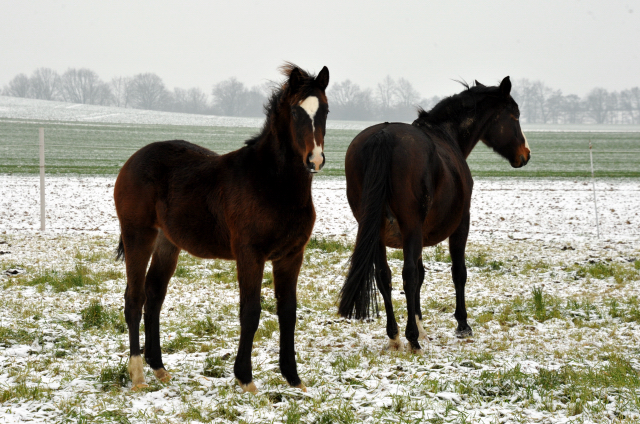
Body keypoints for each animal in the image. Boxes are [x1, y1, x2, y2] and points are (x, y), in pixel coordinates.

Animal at [113, 64, 330, 392]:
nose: (314, 160)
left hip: (168, 243)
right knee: (135, 298)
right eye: (295, 112)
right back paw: (137, 374)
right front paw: (245, 378)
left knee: (154, 294)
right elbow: (250, 311)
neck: (272, 184)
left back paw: (159, 367)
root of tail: (131, 162)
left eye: (326, 110)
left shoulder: (291, 256)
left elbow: (288, 312)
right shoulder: (250, 255)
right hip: (138, 235)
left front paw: (293, 378)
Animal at [338, 78, 528, 352]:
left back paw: (395, 335)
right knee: (407, 275)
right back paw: (411, 338)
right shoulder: (460, 224)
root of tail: (384, 136)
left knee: (384, 275)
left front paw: (421, 325)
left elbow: (420, 275)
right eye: (515, 116)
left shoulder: (416, 235)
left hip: (377, 231)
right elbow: (457, 272)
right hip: (410, 227)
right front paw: (462, 325)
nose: (525, 154)